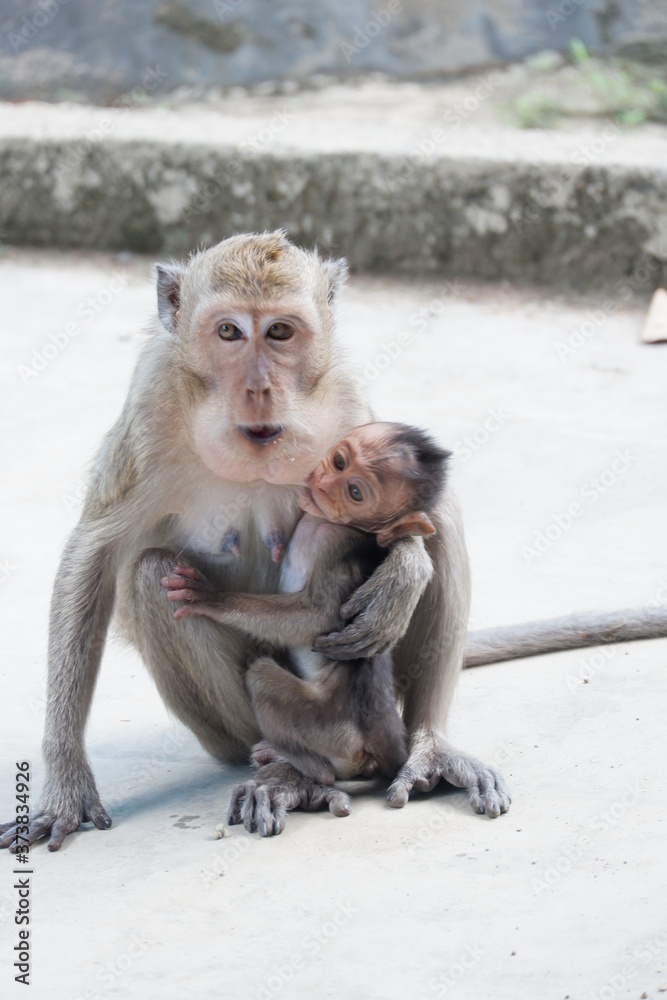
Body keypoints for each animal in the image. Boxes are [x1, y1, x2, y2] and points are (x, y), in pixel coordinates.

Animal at [160, 421, 451, 793]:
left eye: (355, 492)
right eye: (340, 461)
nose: (324, 483)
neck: (323, 522)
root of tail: (381, 728)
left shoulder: (335, 545)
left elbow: (318, 616)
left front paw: (211, 598)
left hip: (327, 727)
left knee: (262, 676)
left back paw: (302, 764)